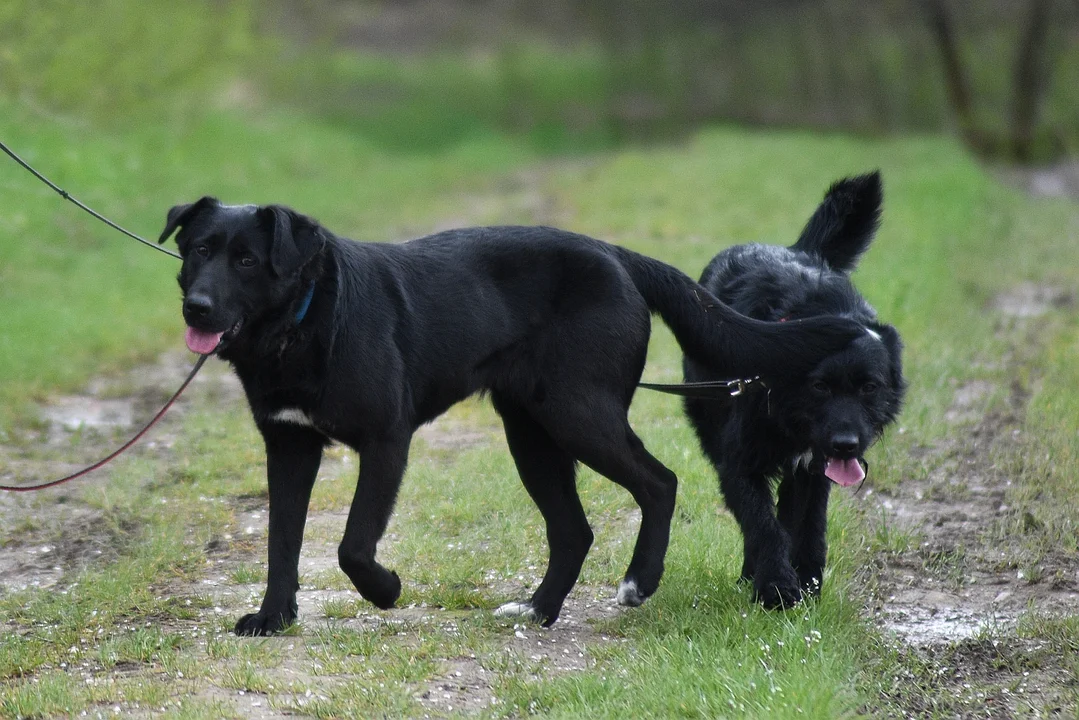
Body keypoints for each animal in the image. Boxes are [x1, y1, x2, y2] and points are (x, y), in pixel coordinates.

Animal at [157, 198, 858, 634]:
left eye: (246, 259)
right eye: (196, 251)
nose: (196, 307)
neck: (303, 321)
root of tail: (615, 254)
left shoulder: (386, 439)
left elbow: (353, 545)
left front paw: (386, 590)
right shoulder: (288, 446)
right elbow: (281, 542)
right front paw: (273, 619)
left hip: (579, 412)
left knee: (660, 482)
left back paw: (639, 581)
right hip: (531, 433)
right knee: (574, 530)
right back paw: (539, 611)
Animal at [681, 172, 902, 608]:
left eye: (870, 387)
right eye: (819, 387)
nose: (847, 444)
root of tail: (795, 249)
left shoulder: (815, 467)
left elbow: (805, 523)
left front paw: (807, 584)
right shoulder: (739, 464)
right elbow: (763, 525)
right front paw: (776, 589)